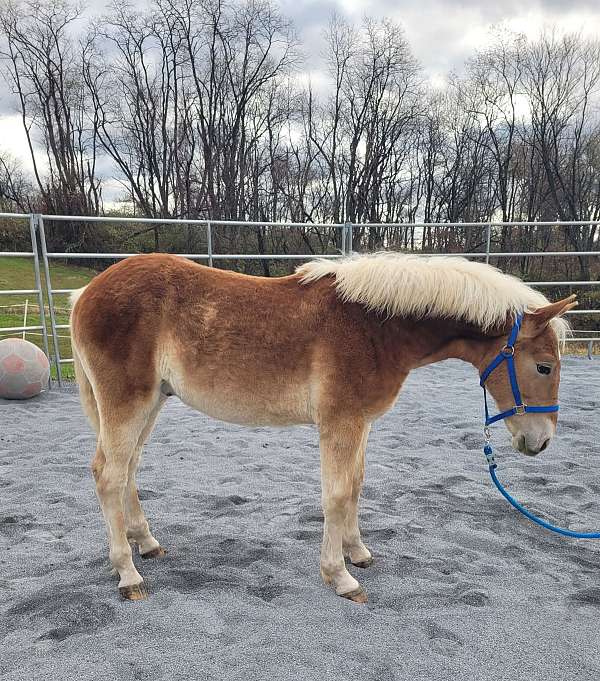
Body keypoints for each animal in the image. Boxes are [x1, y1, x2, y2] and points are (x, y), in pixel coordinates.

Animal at [69, 252, 576, 602]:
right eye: (545, 367)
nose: (541, 441)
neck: (375, 327)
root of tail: (87, 293)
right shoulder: (340, 422)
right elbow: (335, 494)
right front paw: (340, 576)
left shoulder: (360, 424)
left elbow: (355, 486)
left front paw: (358, 553)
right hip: (127, 403)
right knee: (108, 475)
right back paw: (128, 573)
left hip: (150, 403)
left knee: (128, 471)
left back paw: (146, 544)